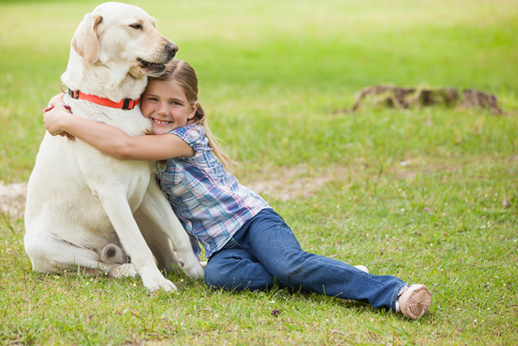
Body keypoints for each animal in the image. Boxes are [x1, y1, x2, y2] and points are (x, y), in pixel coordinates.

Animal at [24, 2, 204, 292]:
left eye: (153, 24)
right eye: (136, 26)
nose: (174, 48)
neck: (117, 103)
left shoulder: (147, 185)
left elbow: (177, 231)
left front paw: (195, 269)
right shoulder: (110, 191)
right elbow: (138, 246)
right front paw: (155, 282)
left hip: (141, 211)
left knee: (160, 254)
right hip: (44, 246)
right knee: (99, 267)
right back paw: (126, 270)